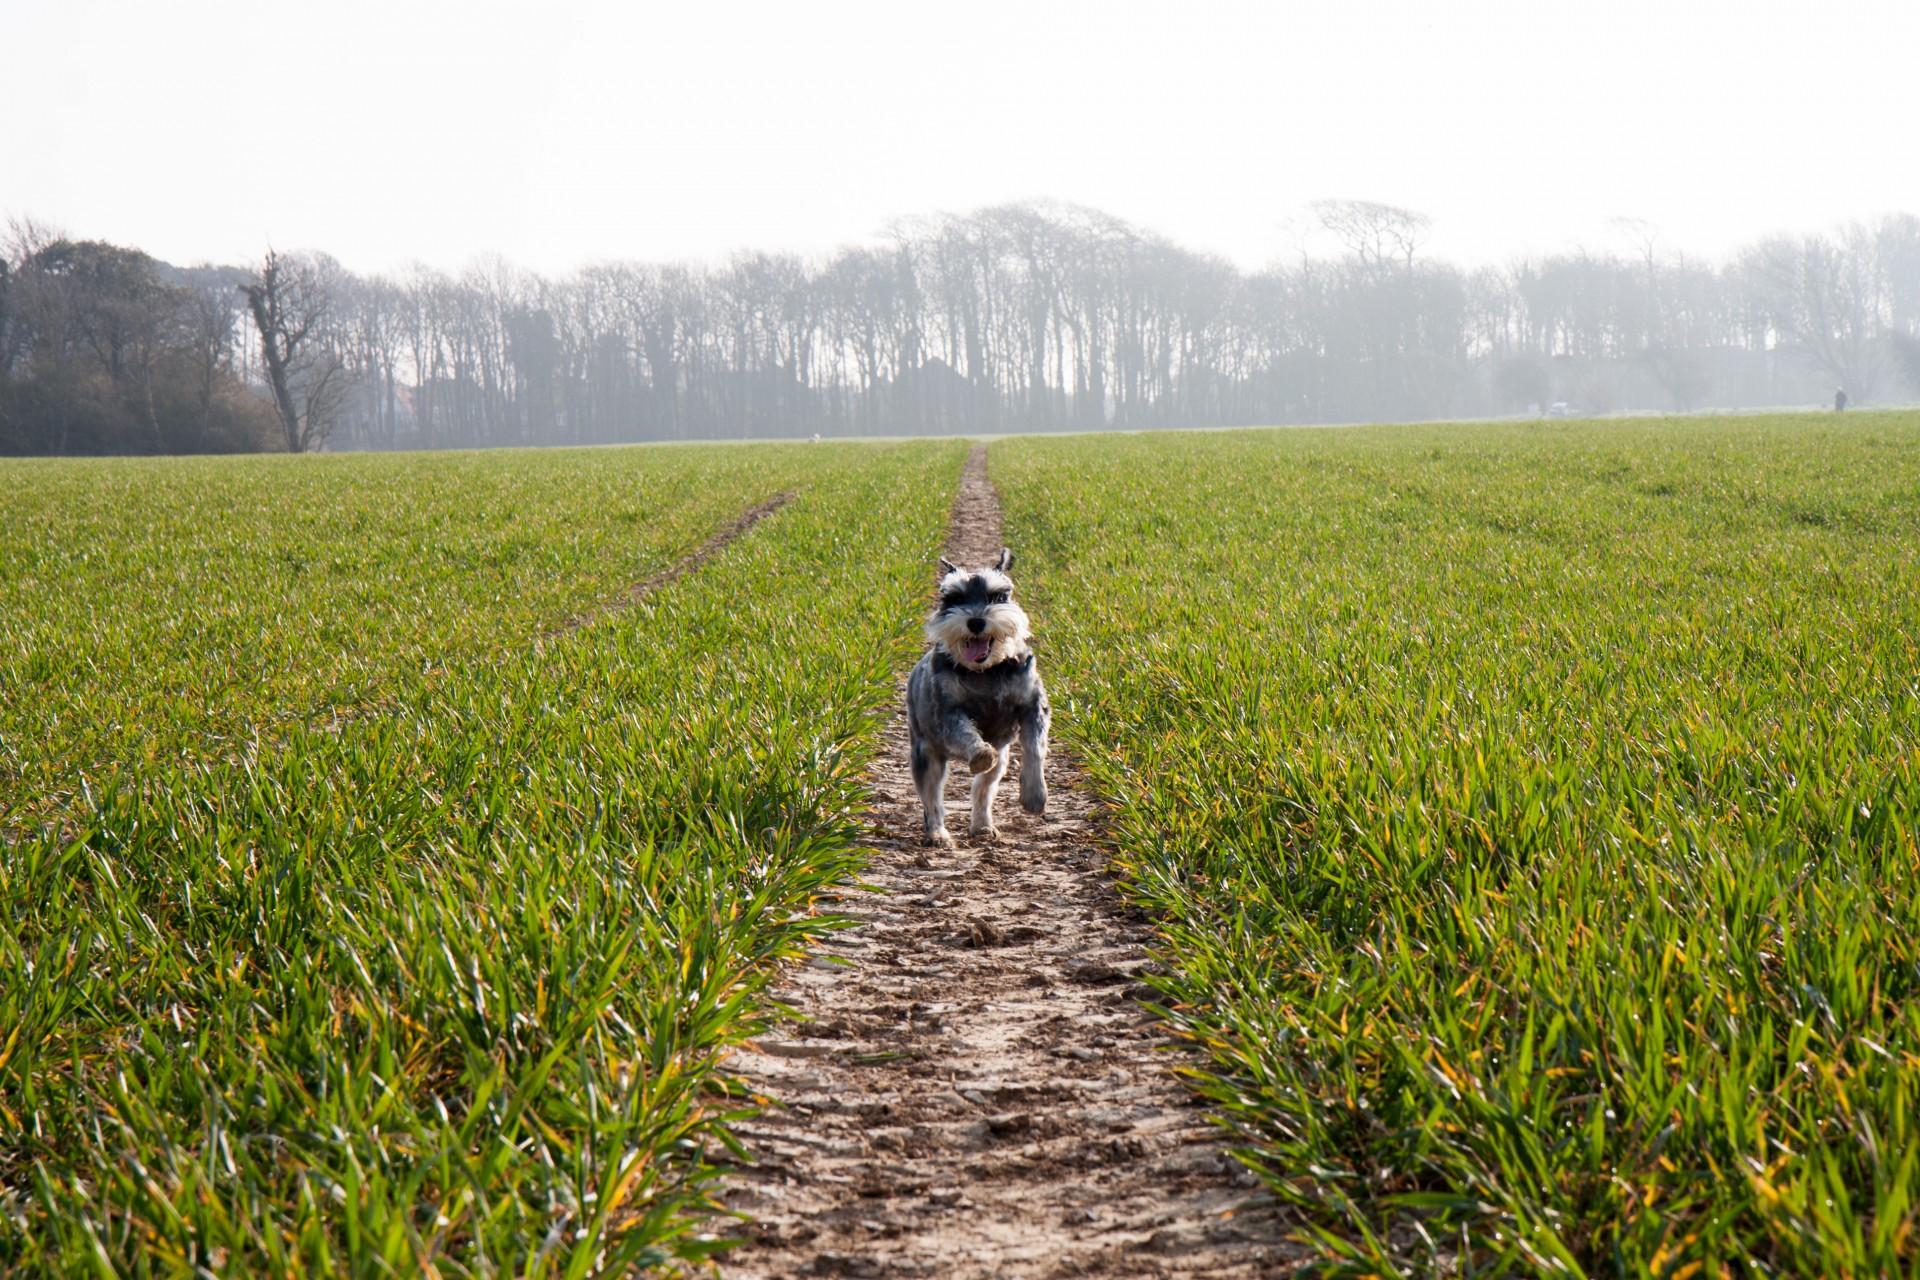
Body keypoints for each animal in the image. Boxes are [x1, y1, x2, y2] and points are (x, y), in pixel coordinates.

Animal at [902, 545, 1052, 844]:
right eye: (953, 598)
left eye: (998, 595)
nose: (975, 622)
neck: (985, 672)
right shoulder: (948, 713)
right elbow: (966, 734)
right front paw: (981, 753)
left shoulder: (1033, 706)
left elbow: (1034, 747)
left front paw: (1034, 795)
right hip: (926, 754)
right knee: (931, 797)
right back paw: (937, 833)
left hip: (1000, 761)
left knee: (983, 790)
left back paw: (982, 825)